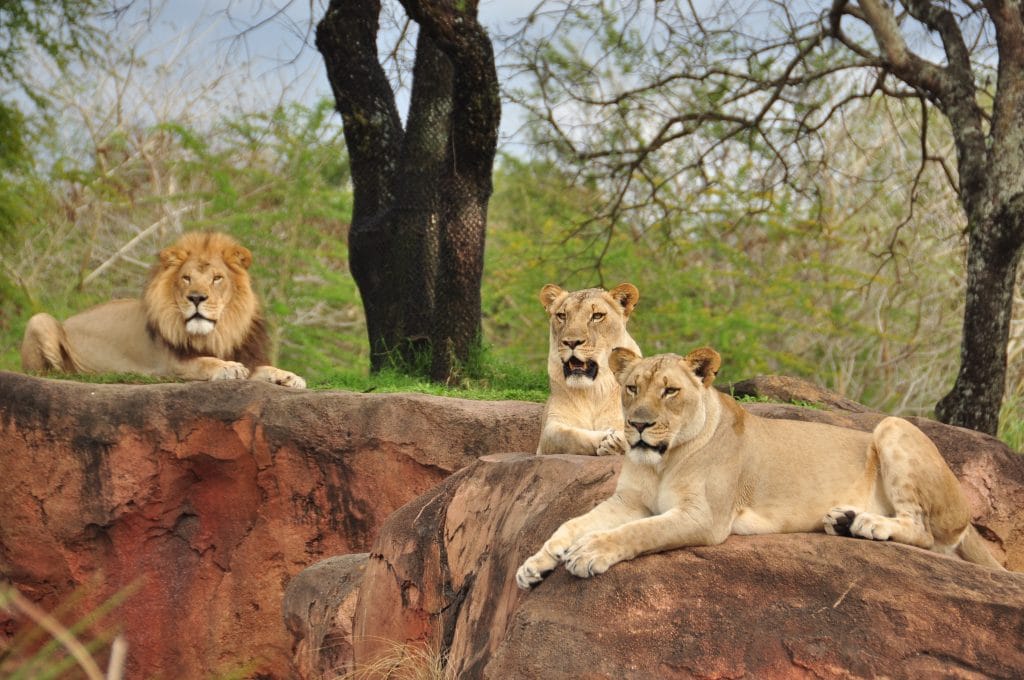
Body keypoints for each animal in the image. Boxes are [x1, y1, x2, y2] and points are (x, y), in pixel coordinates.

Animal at [19, 231, 305, 387]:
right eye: (187, 278)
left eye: (217, 278)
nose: (197, 298)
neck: (218, 332)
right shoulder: (167, 364)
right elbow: (203, 362)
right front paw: (227, 367)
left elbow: (264, 368)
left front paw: (290, 377)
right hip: (40, 320)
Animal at [516, 348, 995, 585]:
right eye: (631, 388)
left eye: (670, 391)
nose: (637, 425)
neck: (662, 461)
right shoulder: (627, 501)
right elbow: (570, 523)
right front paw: (536, 563)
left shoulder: (705, 517)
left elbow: (639, 532)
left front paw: (589, 553)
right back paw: (844, 519)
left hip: (893, 427)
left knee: (926, 533)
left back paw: (869, 525)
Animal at [536, 282, 638, 456]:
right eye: (562, 316)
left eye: (597, 316)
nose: (571, 342)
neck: (592, 392)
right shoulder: (548, 432)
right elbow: (569, 437)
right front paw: (609, 440)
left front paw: (616, 443)